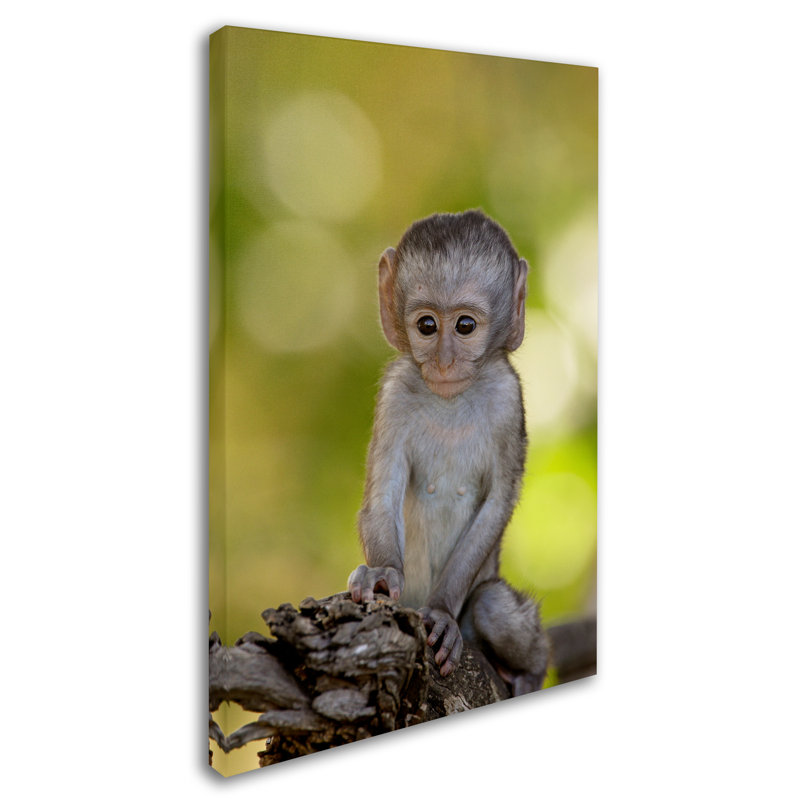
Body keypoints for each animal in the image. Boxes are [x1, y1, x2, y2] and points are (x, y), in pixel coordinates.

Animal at [348, 209, 549, 696]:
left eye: (464, 326)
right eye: (427, 326)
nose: (443, 362)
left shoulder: (508, 398)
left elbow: (498, 503)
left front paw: (439, 612)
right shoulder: (395, 393)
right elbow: (381, 496)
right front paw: (381, 572)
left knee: (492, 604)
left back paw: (528, 672)